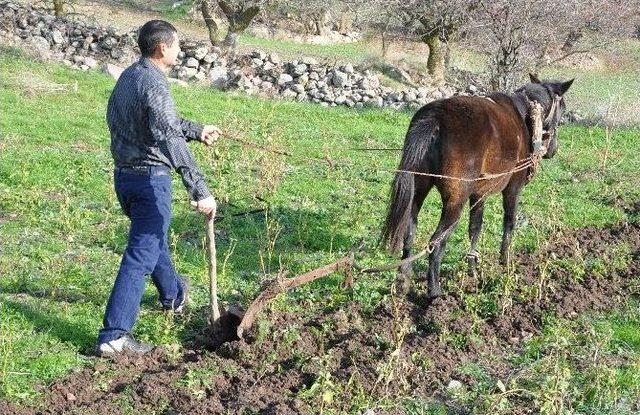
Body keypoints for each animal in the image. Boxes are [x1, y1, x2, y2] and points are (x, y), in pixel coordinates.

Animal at [382, 75, 572, 300]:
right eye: (562, 109)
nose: (553, 150)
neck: (526, 115)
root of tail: (435, 118)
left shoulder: (479, 194)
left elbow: (475, 228)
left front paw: (472, 267)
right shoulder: (513, 188)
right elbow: (509, 223)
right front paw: (505, 262)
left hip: (418, 190)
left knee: (409, 233)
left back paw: (403, 280)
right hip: (456, 201)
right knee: (436, 243)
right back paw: (435, 292)